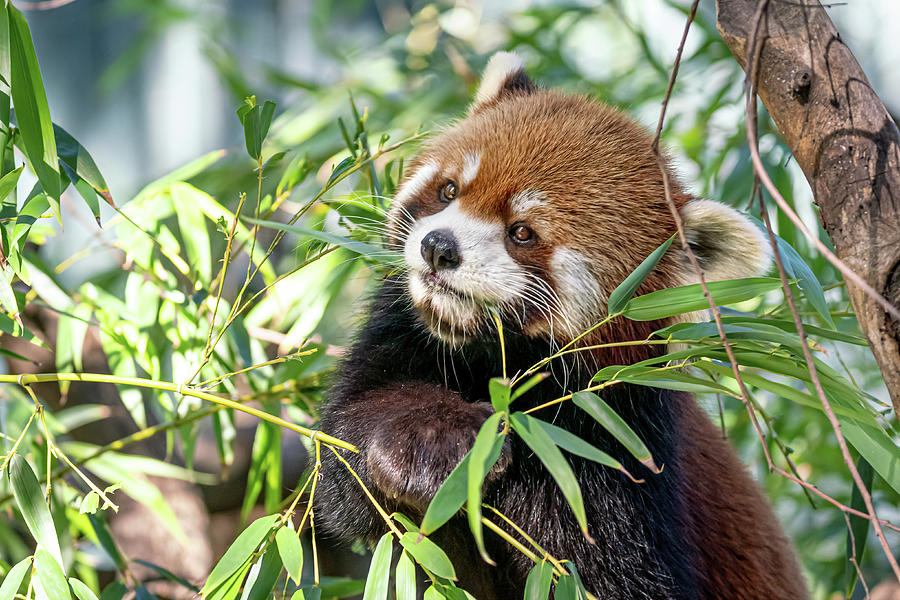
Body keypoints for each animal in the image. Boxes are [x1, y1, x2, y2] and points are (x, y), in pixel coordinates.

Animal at [318, 52, 808, 600]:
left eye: (522, 233)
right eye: (449, 190)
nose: (438, 247)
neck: (494, 358)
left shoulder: (611, 446)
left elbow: (601, 575)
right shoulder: (400, 338)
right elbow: (346, 454)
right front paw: (430, 440)